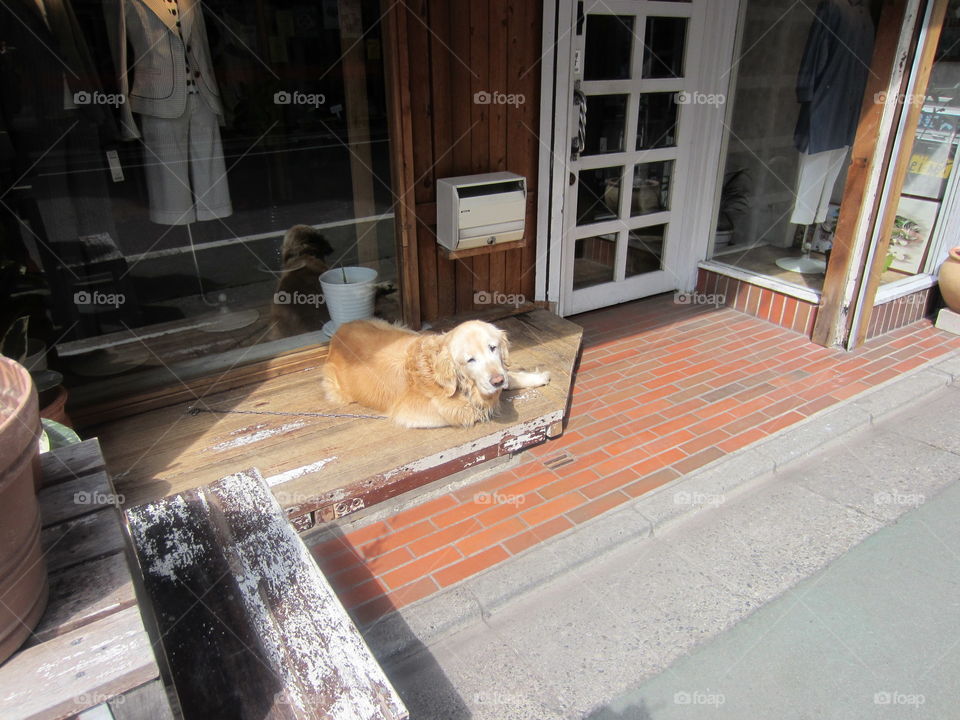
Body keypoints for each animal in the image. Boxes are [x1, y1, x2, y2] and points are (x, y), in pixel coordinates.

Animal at [322, 320, 548, 428]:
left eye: (492, 348)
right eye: (470, 360)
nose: (497, 380)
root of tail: (337, 333)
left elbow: (510, 376)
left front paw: (537, 377)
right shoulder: (411, 412)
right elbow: (468, 411)